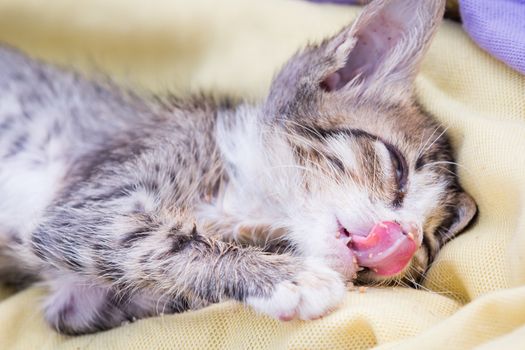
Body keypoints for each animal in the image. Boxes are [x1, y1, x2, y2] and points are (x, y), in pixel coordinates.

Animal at [0, 0, 474, 334]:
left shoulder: (75, 301)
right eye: (397, 168)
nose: (405, 241)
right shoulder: (92, 205)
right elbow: (160, 242)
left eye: (428, 244)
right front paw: (291, 279)